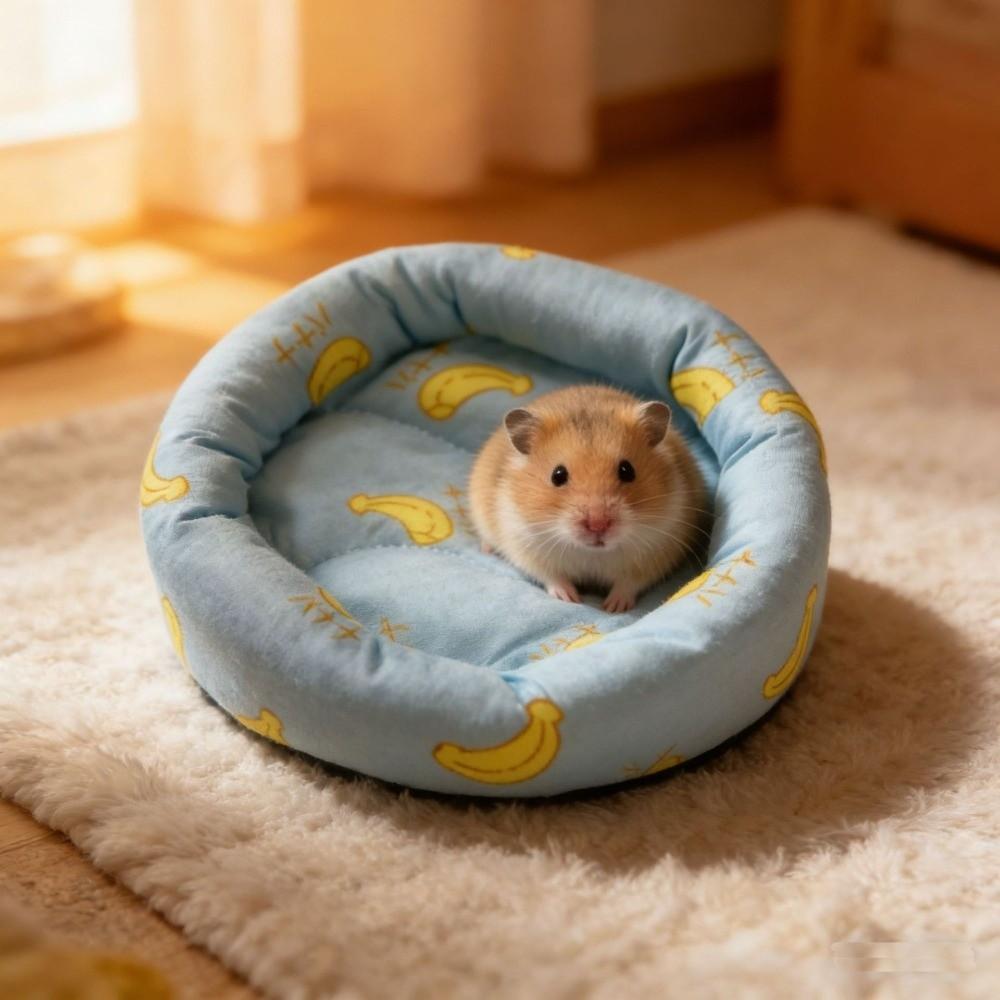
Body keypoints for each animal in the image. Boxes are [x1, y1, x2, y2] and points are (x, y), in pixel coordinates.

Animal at [468, 385, 708, 613]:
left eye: (627, 470)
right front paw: (570, 598)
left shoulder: (656, 552)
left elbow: (628, 584)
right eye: (557, 475)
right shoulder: (526, 546)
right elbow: (553, 577)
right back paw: (486, 549)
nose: (598, 525)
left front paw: (613, 608)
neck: (592, 553)